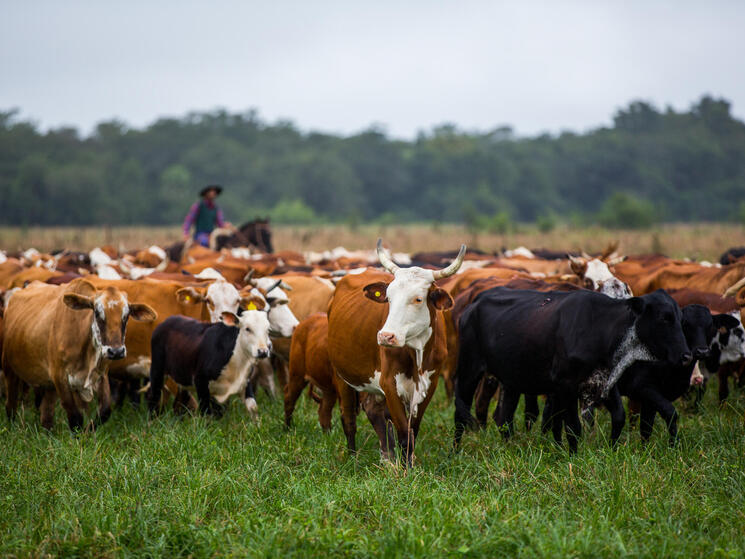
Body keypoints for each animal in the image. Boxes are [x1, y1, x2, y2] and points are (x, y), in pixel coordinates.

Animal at [1, 280, 155, 434]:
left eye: (126, 315)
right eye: (97, 313)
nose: (116, 351)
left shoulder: (101, 375)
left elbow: (105, 411)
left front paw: (87, 432)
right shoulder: (60, 378)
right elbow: (75, 418)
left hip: (48, 385)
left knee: (46, 415)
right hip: (9, 370)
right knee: (10, 406)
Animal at [454, 286, 692, 452]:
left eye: (681, 319)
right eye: (664, 318)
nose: (686, 356)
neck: (601, 329)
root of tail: (474, 303)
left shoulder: (605, 382)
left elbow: (618, 418)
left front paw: (612, 451)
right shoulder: (567, 386)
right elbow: (573, 428)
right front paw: (573, 457)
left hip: (511, 380)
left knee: (504, 418)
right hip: (468, 371)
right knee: (460, 414)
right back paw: (455, 453)